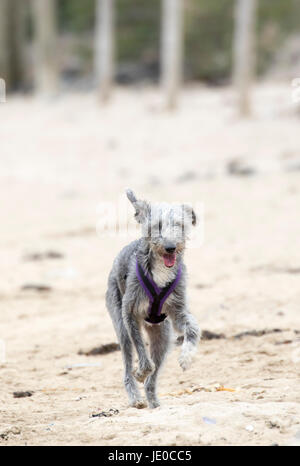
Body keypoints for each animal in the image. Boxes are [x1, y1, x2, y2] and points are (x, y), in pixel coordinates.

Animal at [105, 189, 202, 408]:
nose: (170, 247)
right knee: (128, 364)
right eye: (156, 225)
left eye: (179, 225)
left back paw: (154, 402)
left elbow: (192, 327)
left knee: (154, 376)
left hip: (163, 336)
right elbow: (142, 351)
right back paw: (136, 397)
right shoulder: (130, 313)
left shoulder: (177, 312)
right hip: (120, 324)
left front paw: (187, 357)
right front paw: (141, 371)